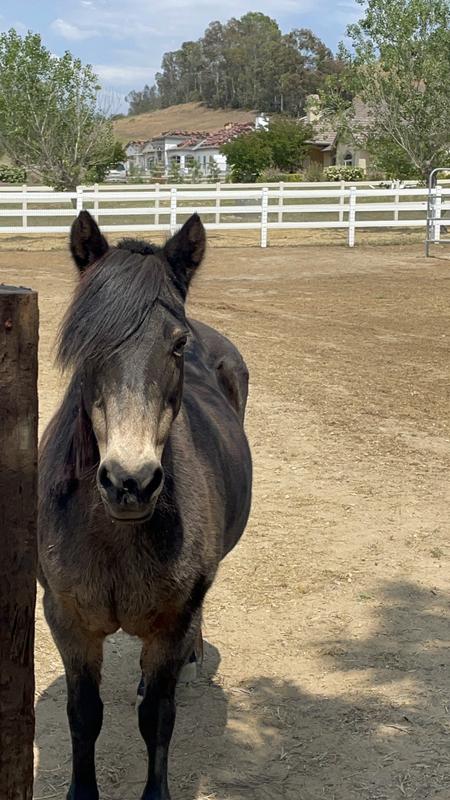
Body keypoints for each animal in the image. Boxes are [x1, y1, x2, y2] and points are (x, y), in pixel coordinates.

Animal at [38, 210, 252, 800]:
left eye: (177, 346)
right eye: (86, 343)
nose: (129, 482)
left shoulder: (168, 625)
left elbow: (157, 718)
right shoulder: (67, 619)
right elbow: (83, 714)